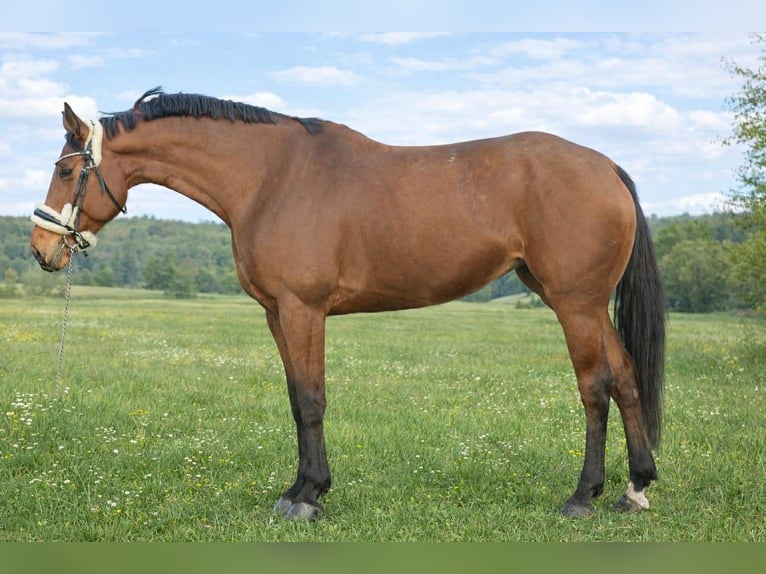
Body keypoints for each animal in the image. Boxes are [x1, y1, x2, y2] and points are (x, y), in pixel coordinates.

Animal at [30, 87, 665, 521]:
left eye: (65, 169)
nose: (40, 248)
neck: (270, 178)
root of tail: (605, 166)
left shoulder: (303, 309)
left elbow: (312, 401)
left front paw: (309, 497)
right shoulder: (276, 314)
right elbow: (295, 399)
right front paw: (297, 488)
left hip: (574, 304)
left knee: (595, 388)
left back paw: (582, 496)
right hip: (584, 304)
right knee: (628, 378)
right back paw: (635, 487)